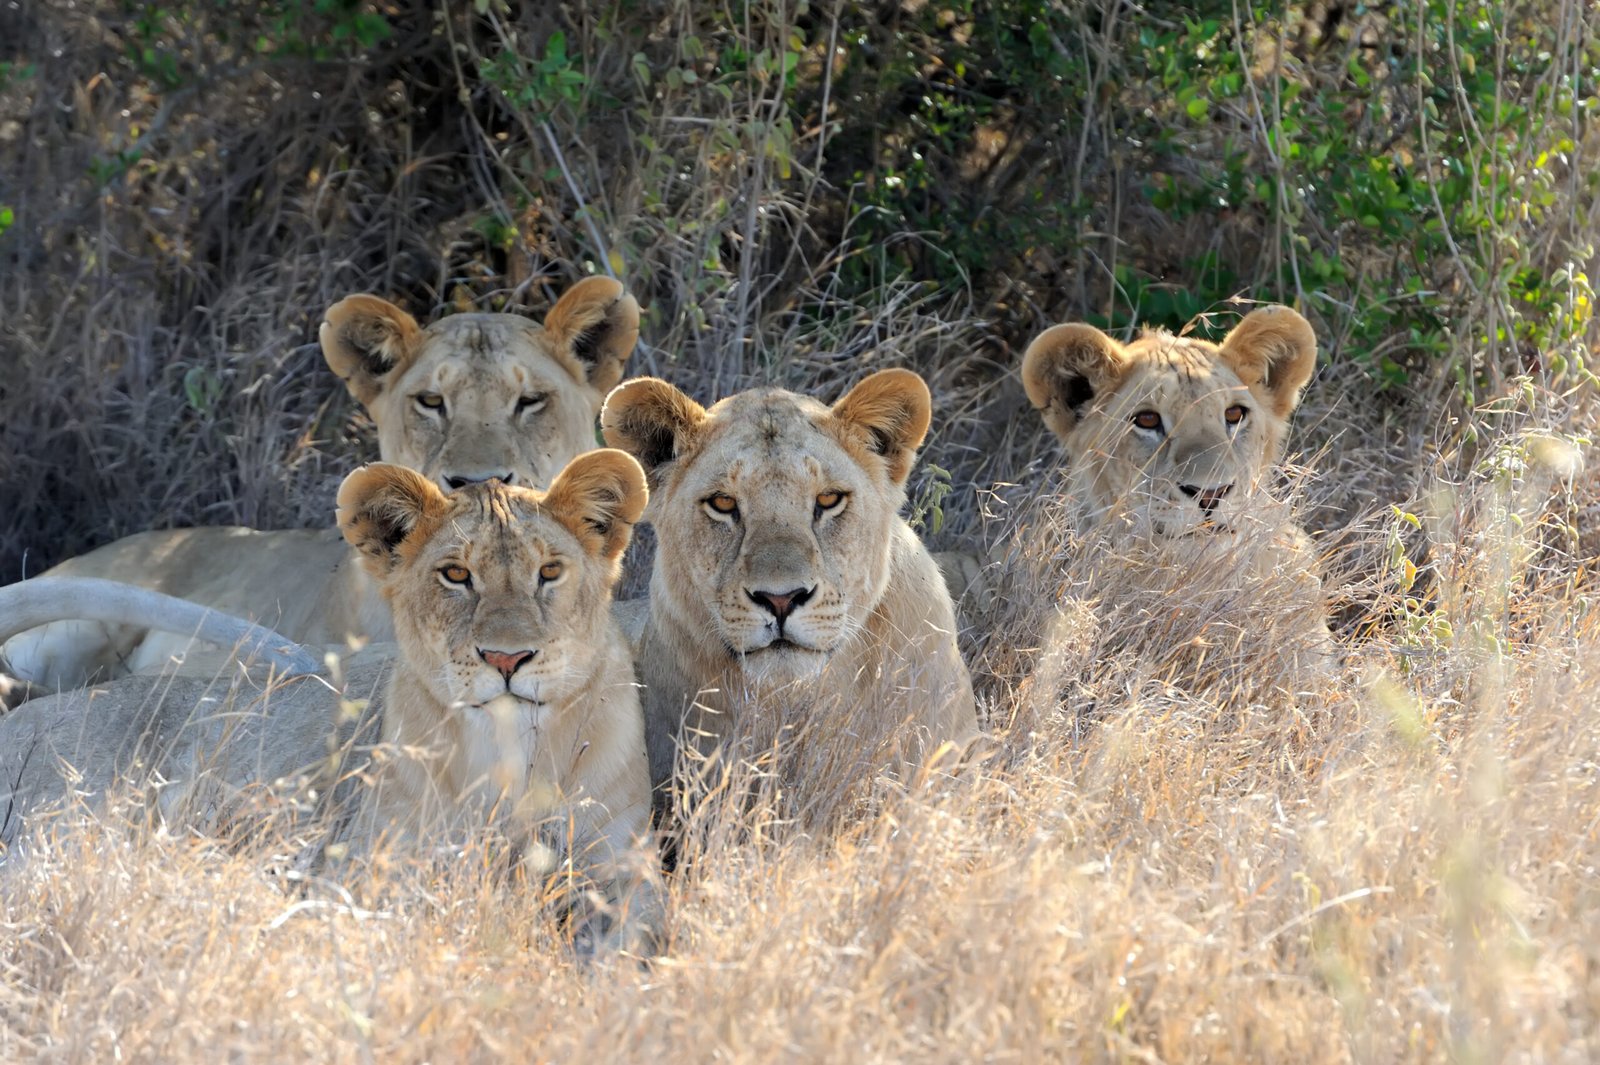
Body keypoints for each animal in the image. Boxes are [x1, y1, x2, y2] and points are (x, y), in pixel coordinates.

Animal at [0, 450, 661, 954]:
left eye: (549, 573)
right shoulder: (365, 869)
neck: (511, 749)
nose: (505, 659)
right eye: (455, 575)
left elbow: (634, 946)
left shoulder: (625, 872)